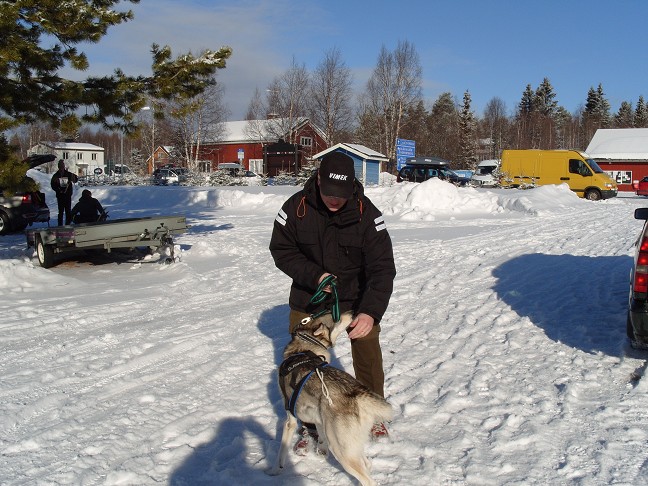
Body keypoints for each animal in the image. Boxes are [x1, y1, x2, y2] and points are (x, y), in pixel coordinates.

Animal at [268, 312, 392, 486]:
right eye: (335, 317)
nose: (352, 313)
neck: (302, 349)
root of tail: (357, 392)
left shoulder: (290, 419)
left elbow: (281, 453)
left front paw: (273, 471)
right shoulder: (318, 418)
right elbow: (320, 435)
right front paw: (321, 450)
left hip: (341, 451)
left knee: (368, 480)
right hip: (351, 446)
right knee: (367, 463)